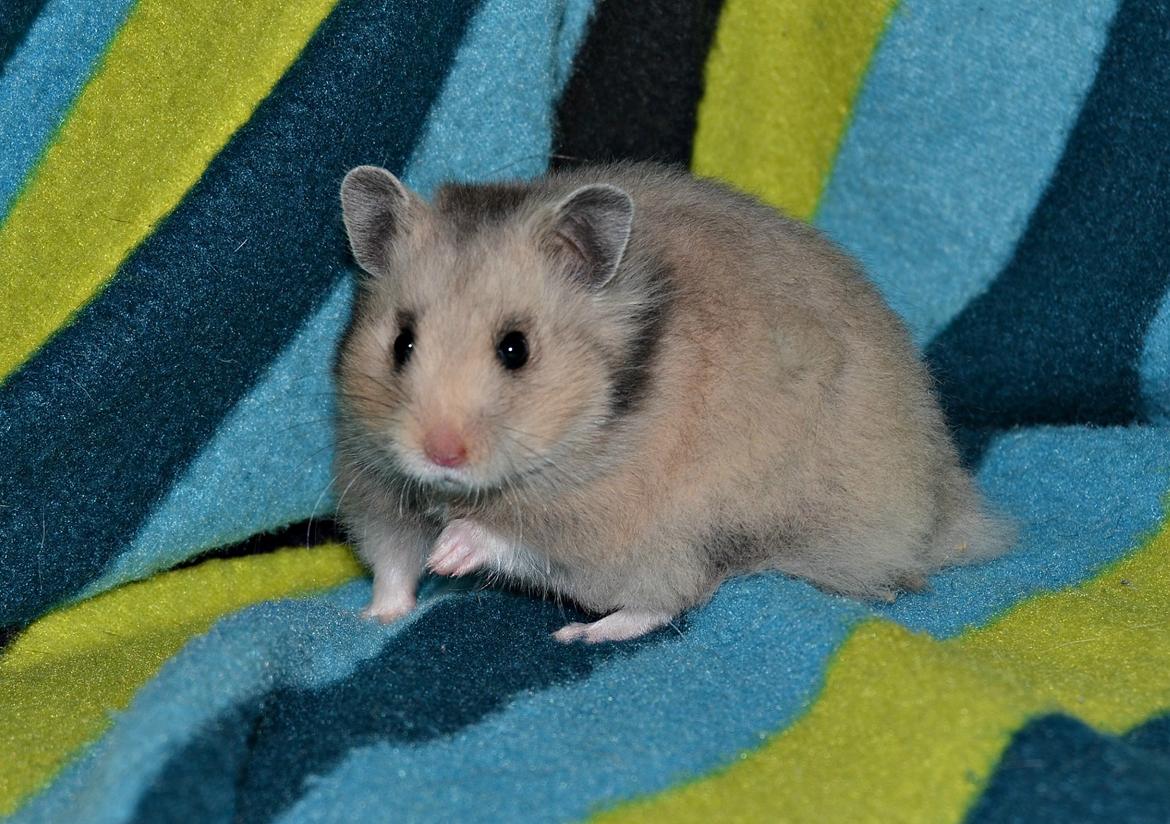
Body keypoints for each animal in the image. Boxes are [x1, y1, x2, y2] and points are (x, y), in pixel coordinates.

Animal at [333, 161, 1013, 643]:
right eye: (402, 341)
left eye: (515, 349)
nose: (440, 454)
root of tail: (945, 507)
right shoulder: (374, 486)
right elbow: (392, 564)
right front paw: (373, 618)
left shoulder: (601, 520)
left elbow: (510, 536)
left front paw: (449, 555)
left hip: (693, 537)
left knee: (670, 599)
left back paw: (580, 633)